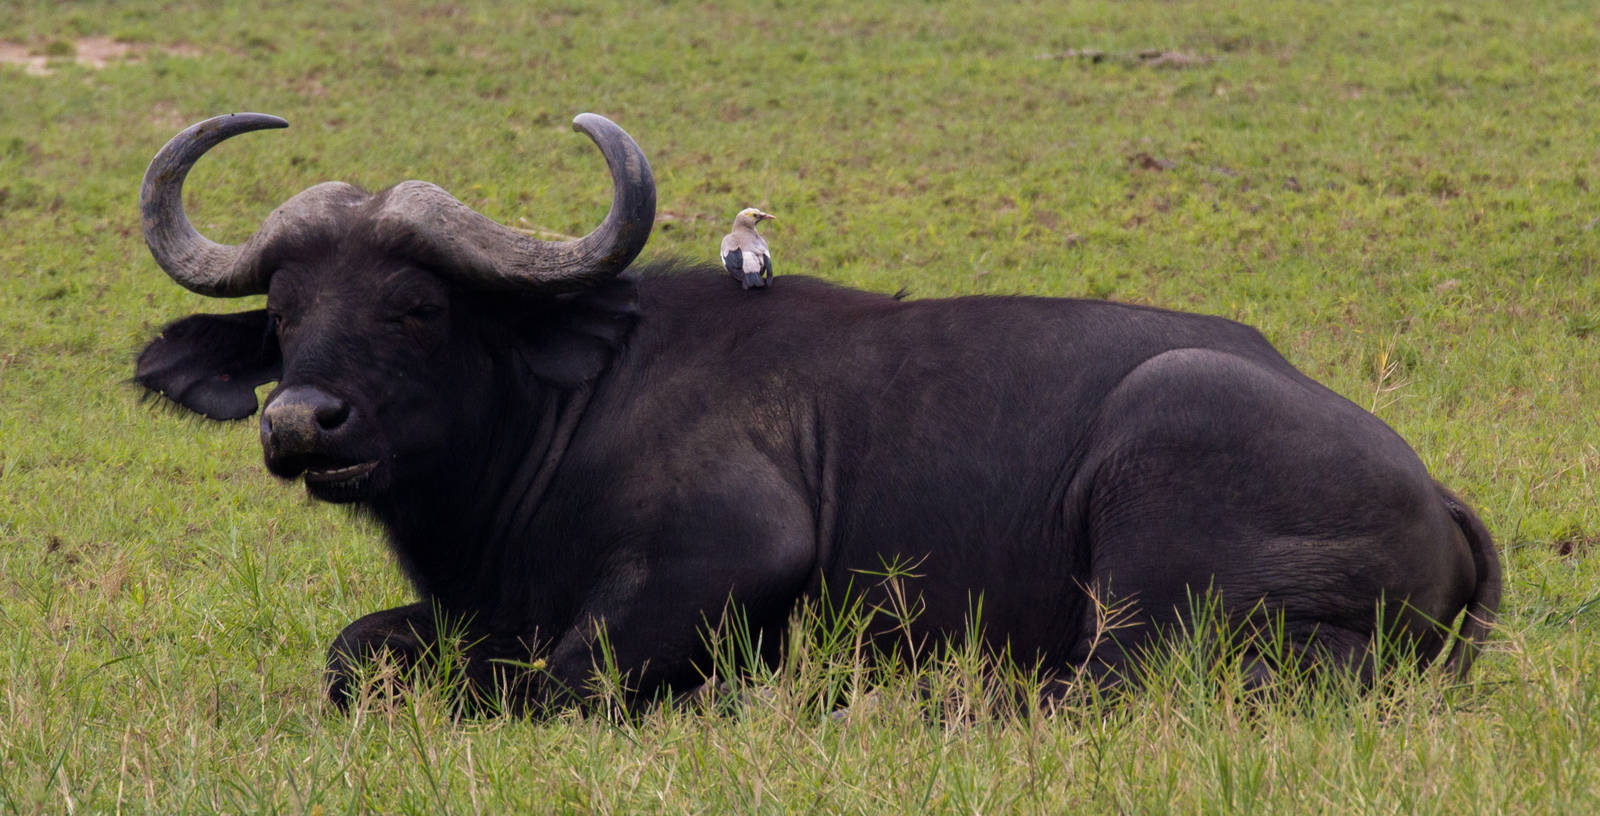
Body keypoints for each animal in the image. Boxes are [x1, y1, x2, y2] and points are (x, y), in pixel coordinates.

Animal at [135, 112, 1500, 712]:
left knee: (1110, 683)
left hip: (1164, 503)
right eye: (288, 309)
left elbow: (553, 681)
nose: (299, 423)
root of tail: (1435, 493)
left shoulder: (728, 559)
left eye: (417, 304)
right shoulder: (465, 613)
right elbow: (357, 654)